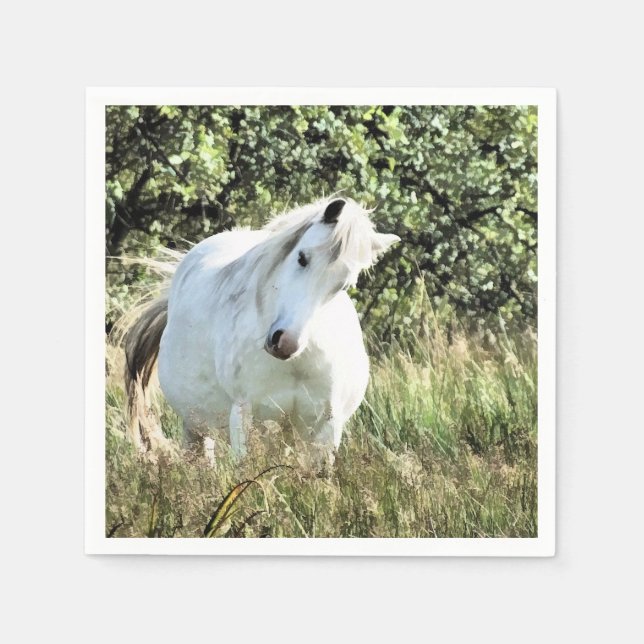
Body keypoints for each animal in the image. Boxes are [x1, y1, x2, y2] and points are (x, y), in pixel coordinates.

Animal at [124, 197, 399, 463]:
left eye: (344, 284)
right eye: (302, 257)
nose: (285, 342)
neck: (297, 363)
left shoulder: (326, 428)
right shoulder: (243, 417)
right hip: (195, 427)